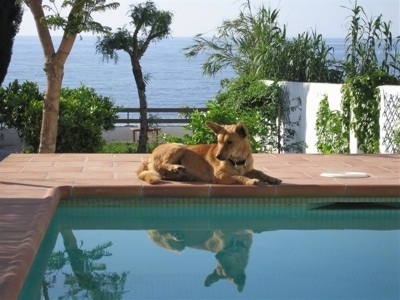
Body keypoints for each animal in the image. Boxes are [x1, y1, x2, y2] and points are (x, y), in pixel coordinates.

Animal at [137, 120, 282, 185]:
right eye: (218, 141)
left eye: (229, 142)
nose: (217, 156)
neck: (237, 161)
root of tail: (149, 157)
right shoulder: (219, 176)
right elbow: (238, 177)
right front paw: (251, 181)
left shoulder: (248, 169)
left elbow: (260, 172)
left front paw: (272, 178)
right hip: (179, 146)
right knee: (163, 165)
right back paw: (176, 168)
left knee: (163, 174)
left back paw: (183, 175)